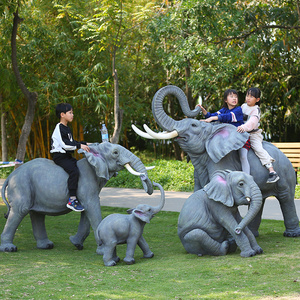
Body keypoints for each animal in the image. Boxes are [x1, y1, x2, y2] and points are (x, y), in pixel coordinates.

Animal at [0, 142, 155, 252]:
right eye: (115, 153)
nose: (145, 179)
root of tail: (10, 176)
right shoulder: (86, 183)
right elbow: (92, 207)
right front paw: (101, 250)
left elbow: (87, 211)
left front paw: (76, 244)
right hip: (21, 186)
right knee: (20, 210)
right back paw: (9, 248)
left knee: (37, 214)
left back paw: (47, 246)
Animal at [134, 84, 300, 237]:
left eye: (193, 125)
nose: (198, 105)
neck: (213, 130)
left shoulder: (222, 160)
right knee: (261, 199)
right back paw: (254, 234)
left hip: (285, 174)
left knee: (285, 197)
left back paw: (291, 234)